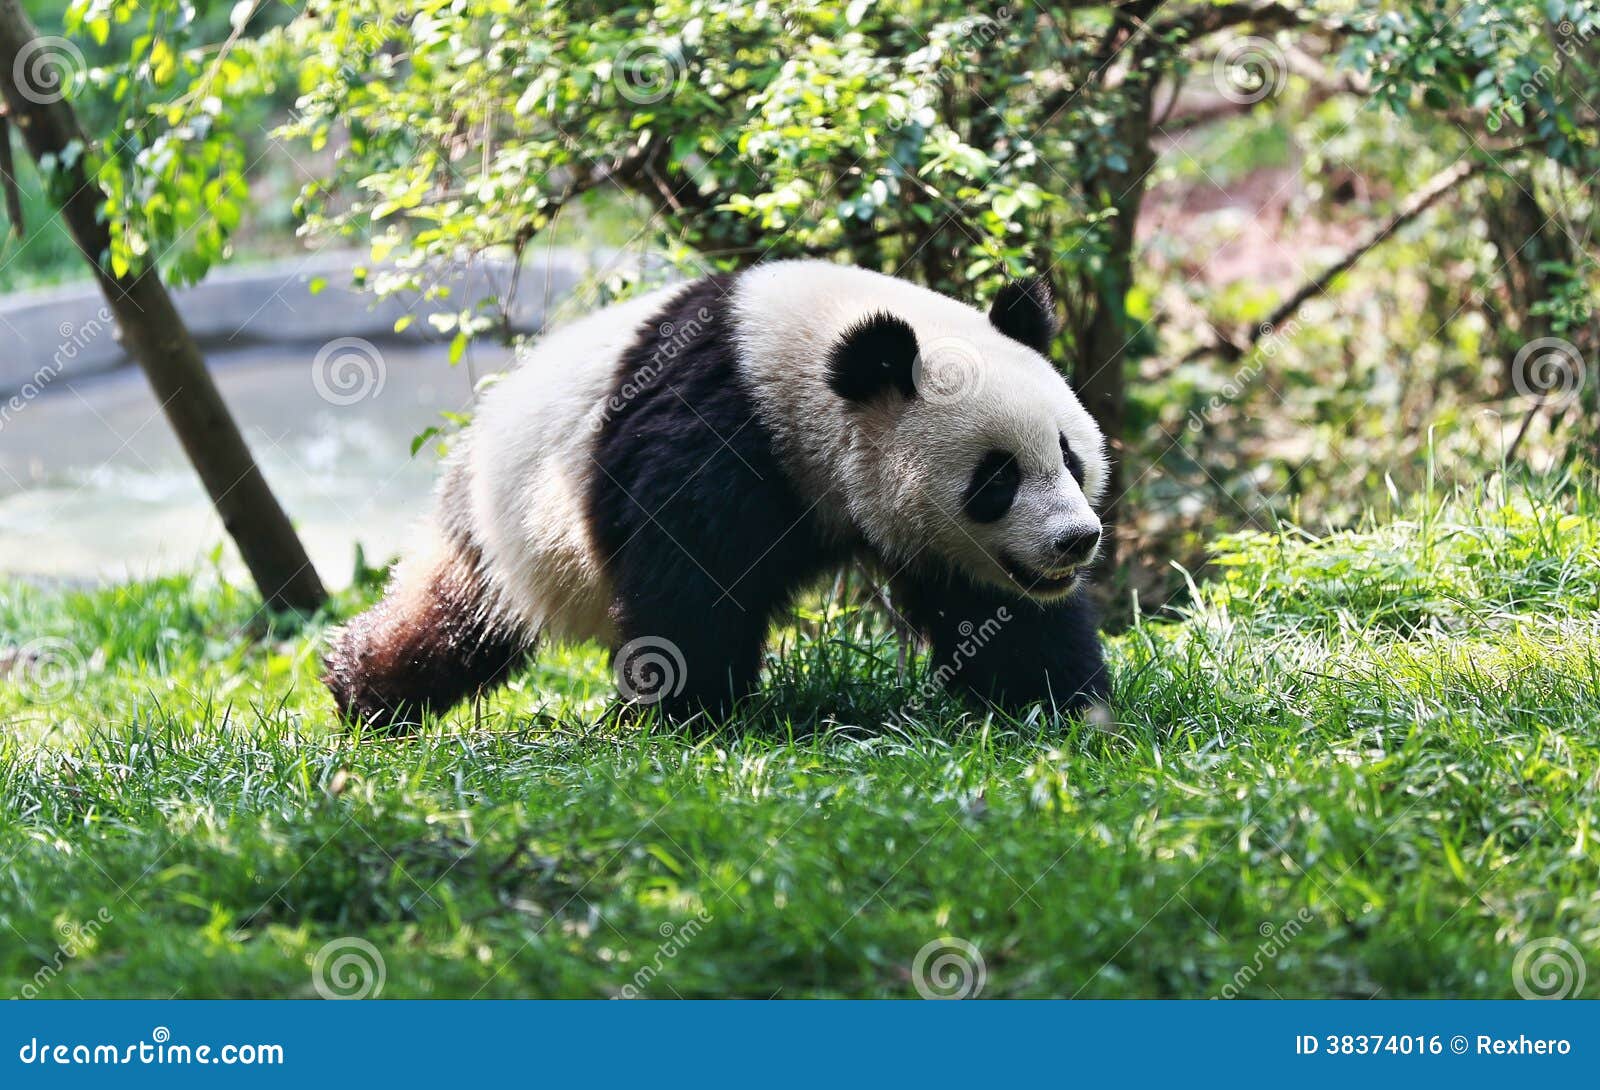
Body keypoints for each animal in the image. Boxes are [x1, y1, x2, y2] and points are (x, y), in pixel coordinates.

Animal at [324, 259, 1113, 726]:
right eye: (997, 479)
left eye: (1069, 457)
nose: (1076, 539)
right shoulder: (718, 429)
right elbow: (690, 582)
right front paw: (695, 712)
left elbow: (994, 610)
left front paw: (1059, 701)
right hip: (510, 520)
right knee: (452, 620)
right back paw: (360, 691)